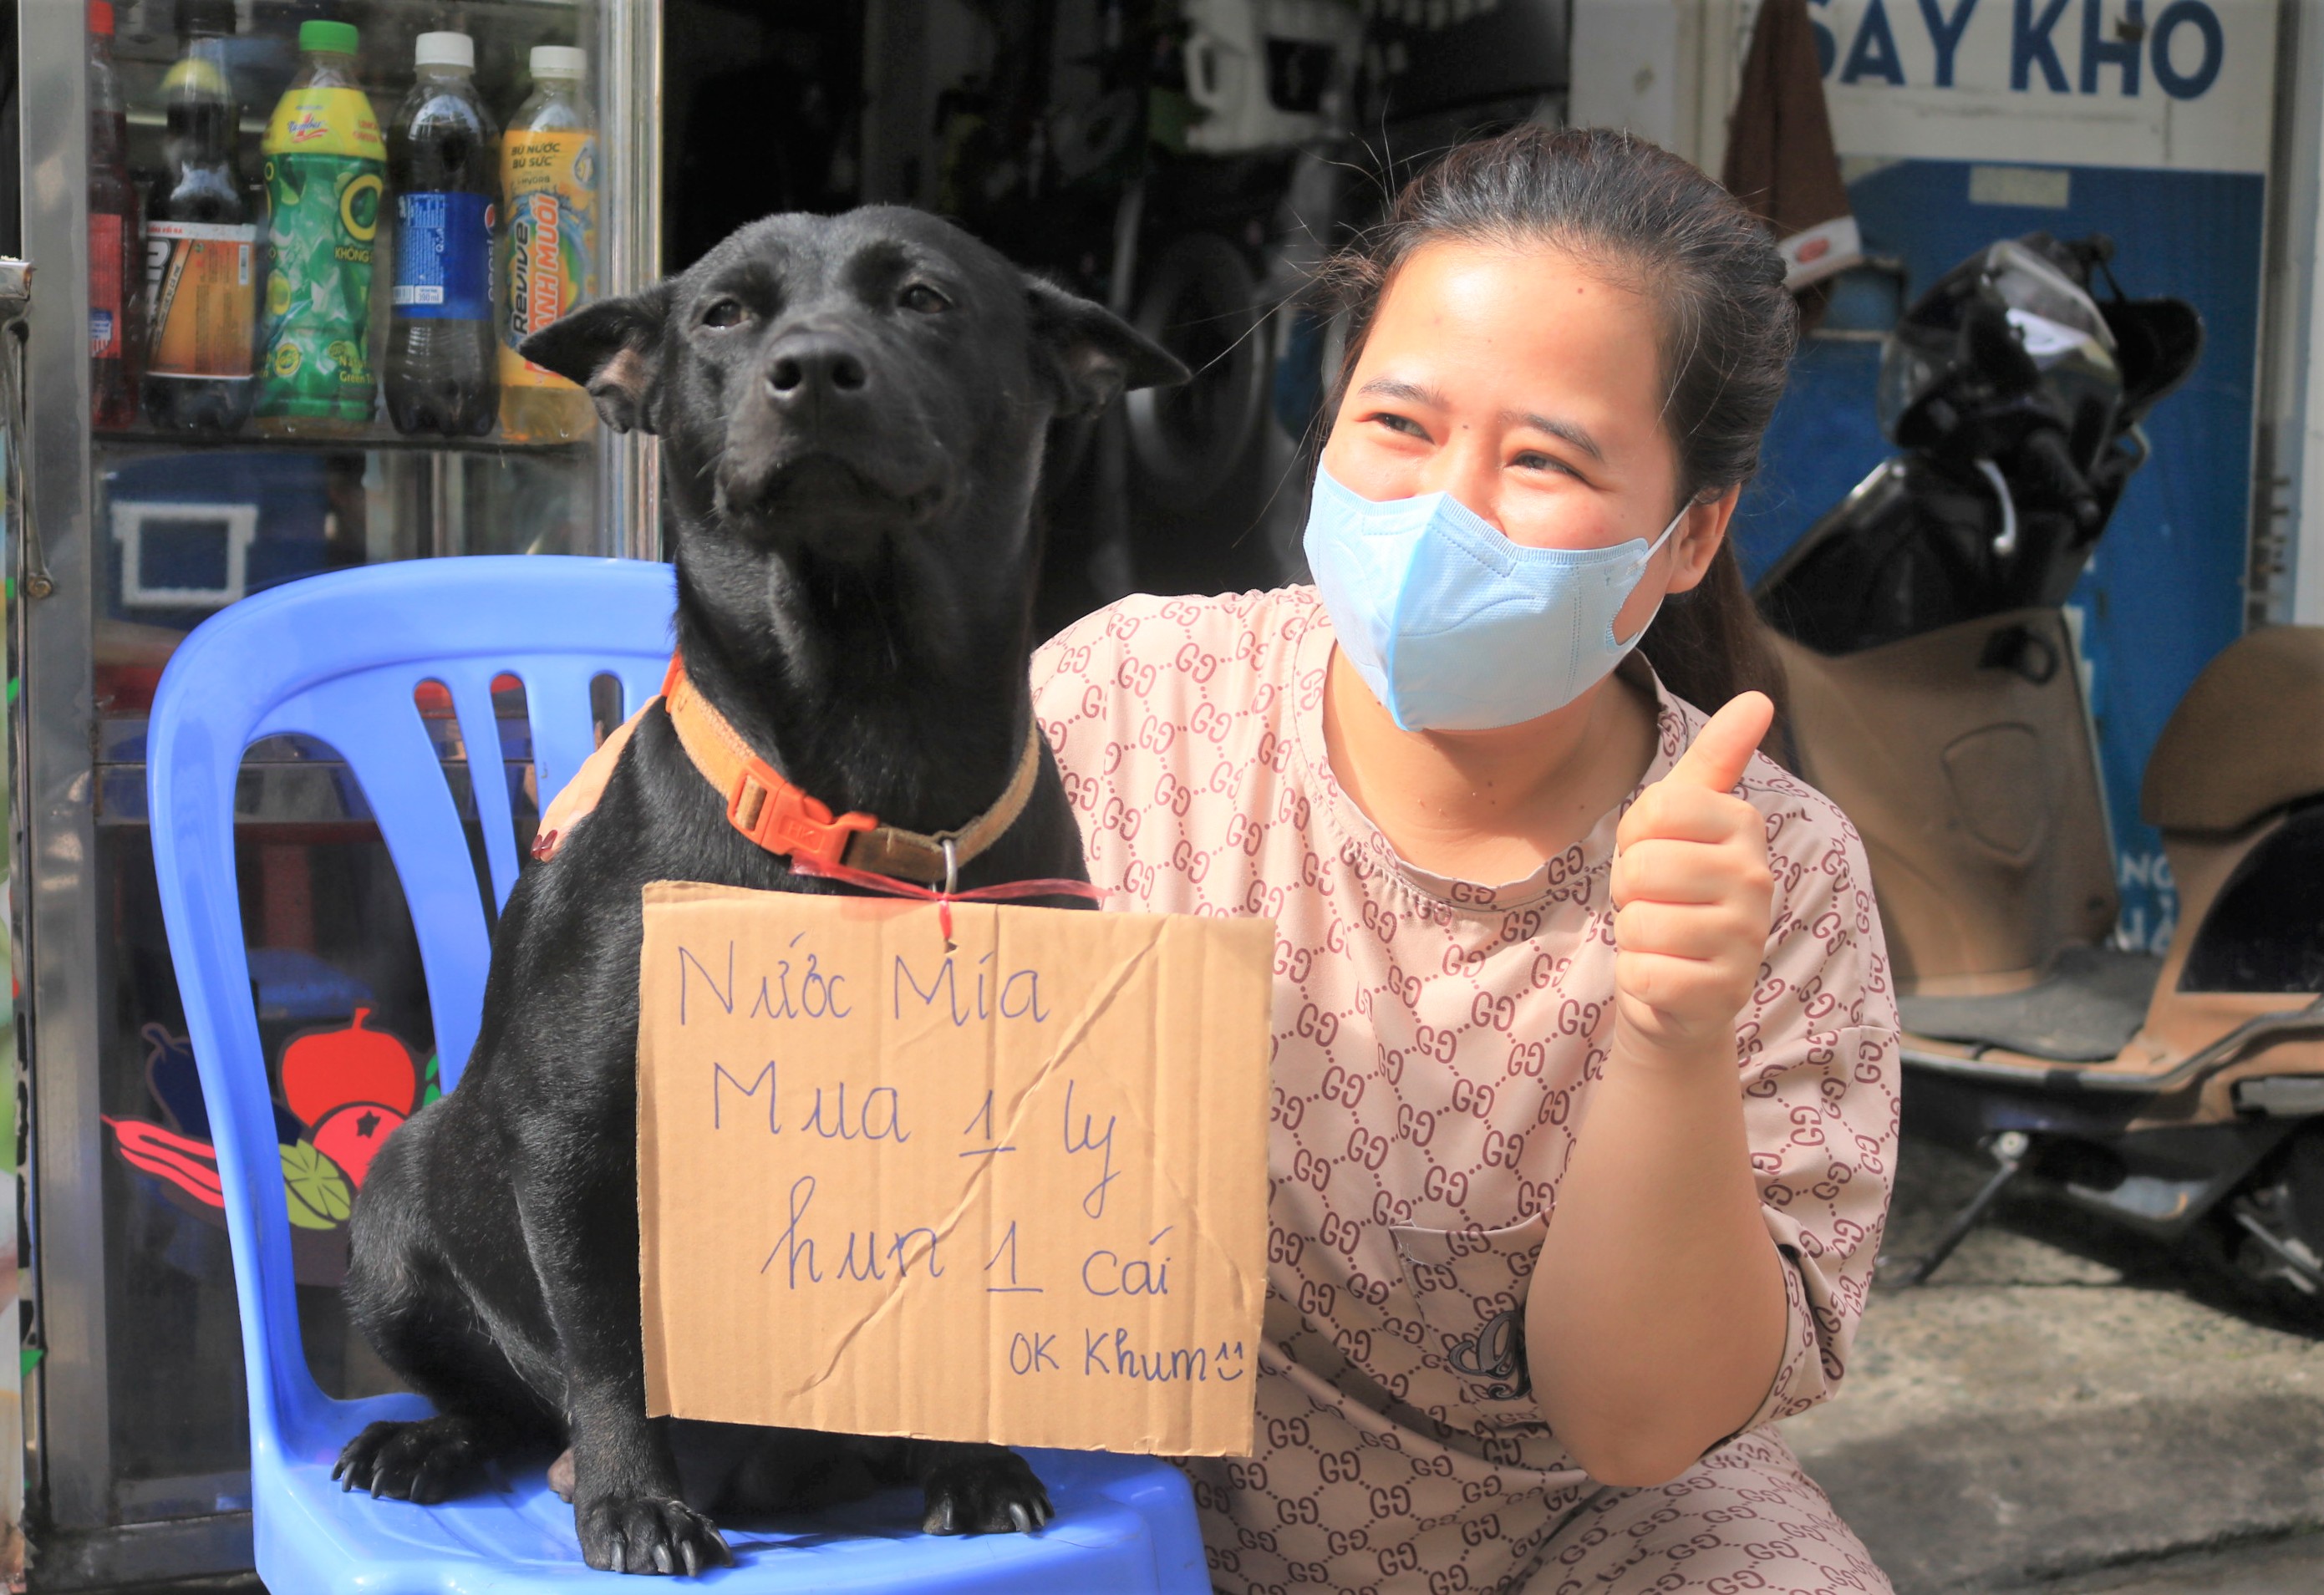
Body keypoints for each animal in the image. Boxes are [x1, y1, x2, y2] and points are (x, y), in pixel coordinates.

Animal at [328, 206, 1180, 1581]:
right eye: (724, 313)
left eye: (926, 298)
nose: (814, 369)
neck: (866, 760)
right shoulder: (578, 1138)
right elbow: (614, 1346)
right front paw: (634, 1499)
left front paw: (977, 1462)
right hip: (399, 1194)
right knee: (506, 1402)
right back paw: (431, 1444)